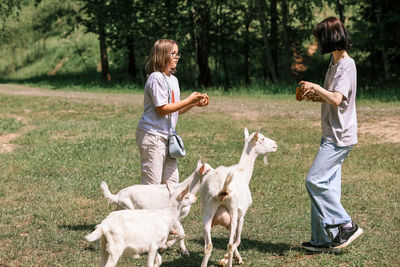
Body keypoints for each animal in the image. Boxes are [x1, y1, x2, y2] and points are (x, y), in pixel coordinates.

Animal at [198, 129, 276, 266]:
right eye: (262, 139)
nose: (275, 144)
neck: (242, 172)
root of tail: (222, 189)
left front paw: (236, 257)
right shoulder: (241, 214)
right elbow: (237, 240)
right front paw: (226, 259)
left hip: (207, 213)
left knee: (208, 246)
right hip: (233, 212)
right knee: (230, 244)